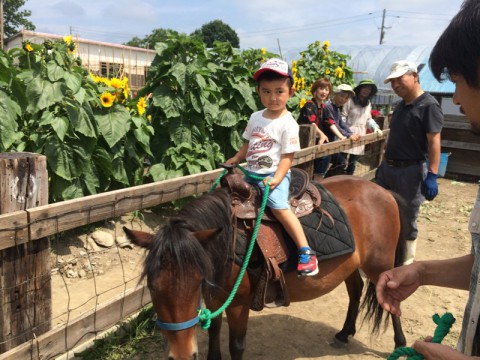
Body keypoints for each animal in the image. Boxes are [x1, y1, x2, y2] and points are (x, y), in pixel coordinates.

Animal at [124, 174, 408, 358]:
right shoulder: (215, 297)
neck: (226, 241)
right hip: (352, 264)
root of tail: (384, 192)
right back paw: (344, 333)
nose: (182, 355)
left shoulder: (238, 304)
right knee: (356, 290)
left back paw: (400, 345)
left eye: (195, 283)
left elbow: (236, 346)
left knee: (391, 299)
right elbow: (214, 334)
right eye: (153, 287)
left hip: (379, 265)